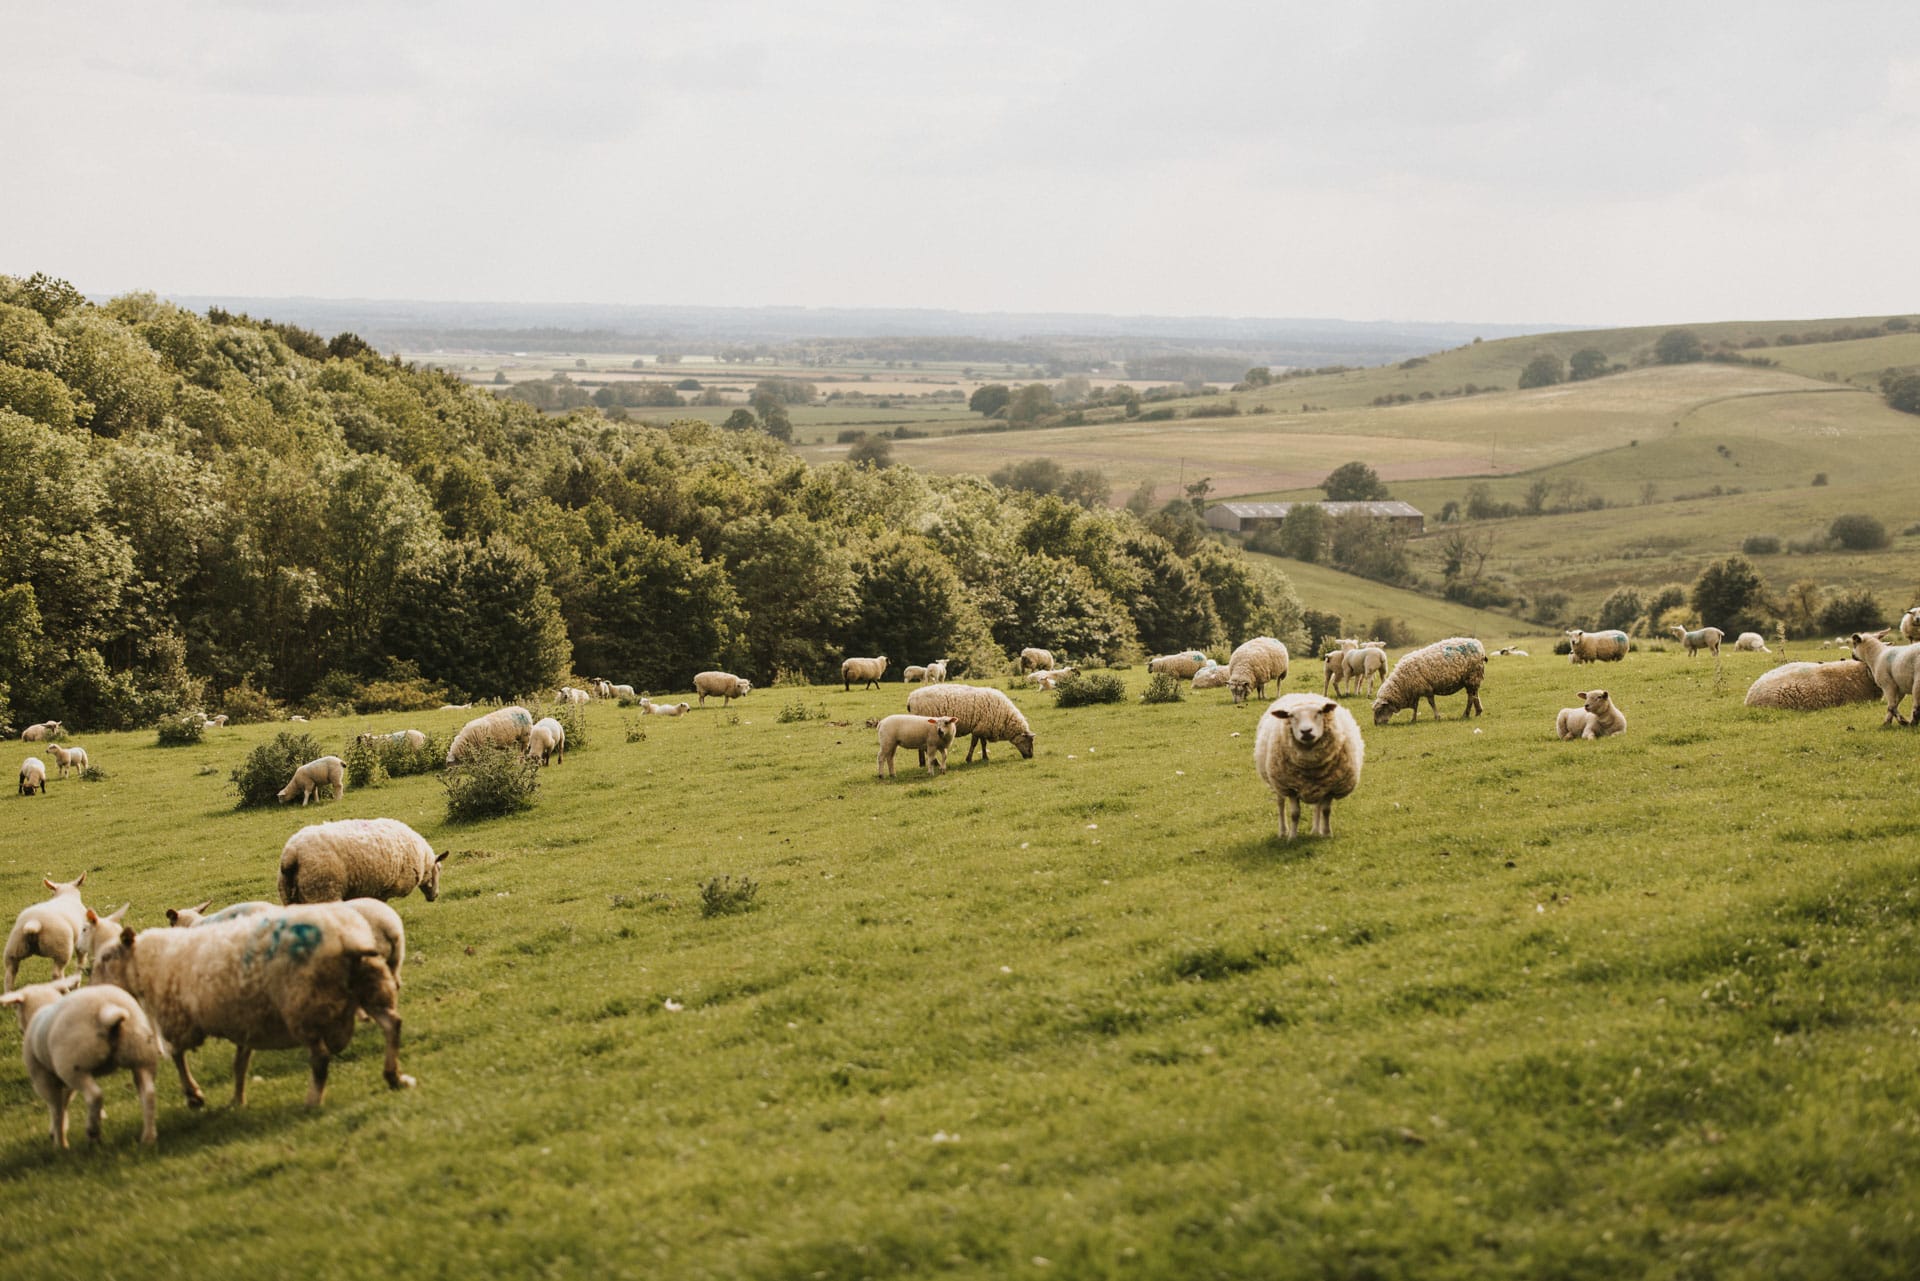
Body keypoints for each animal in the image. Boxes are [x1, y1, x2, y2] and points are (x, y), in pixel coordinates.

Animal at [1, 976, 161, 1147]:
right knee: (148, 1093)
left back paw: (92, 1131)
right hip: (141, 1054)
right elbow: (64, 1103)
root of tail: (106, 1010)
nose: (20, 1029)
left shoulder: (43, 1078)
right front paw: (59, 1132)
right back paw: (148, 1137)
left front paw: (59, 1142)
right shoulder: (64, 1083)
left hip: (74, 1066)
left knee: (94, 1095)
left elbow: (56, 1109)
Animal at [89, 904, 414, 1109]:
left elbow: (178, 1056)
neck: (152, 960)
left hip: (303, 1005)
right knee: (392, 1024)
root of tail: (348, 939)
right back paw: (394, 1076)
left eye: (106, 958)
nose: (92, 987)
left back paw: (312, 1102)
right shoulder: (244, 1019)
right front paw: (236, 1100)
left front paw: (194, 1095)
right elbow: (239, 1064)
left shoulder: (180, 1021)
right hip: (371, 985)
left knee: (320, 1058)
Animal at [278, 817, 449, 905]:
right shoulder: (384, 889)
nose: (435, 896)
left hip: (290, 897)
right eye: (439, 870)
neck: (424, 860)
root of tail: (292, 853)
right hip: (322, 892)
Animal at [906, 683, 1035, 762]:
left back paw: (923, 763)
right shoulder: (979, 729)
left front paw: (985, 757)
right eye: (1028, 741)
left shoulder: (982, 727)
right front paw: (969, 759)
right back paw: (934, 762)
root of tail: (911, 698)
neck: (1005, 718)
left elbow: (983, 744)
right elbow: (974, 744)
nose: (1031, 756)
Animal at [1254, 693, 1365, 839]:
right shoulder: (1290, 787)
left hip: (1318, 786)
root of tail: (1302, 694)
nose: (1306, 731)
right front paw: (1292, 837)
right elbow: (1295, 814)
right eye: (1291, 716)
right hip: (1277, 783)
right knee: (1280, 804)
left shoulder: (1330, 786)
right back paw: (1283, 831)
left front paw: (1327, 833)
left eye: (1319, 712)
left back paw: (1316, 830)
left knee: (1317, 806)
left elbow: (1326, 810)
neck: (1311, 763)